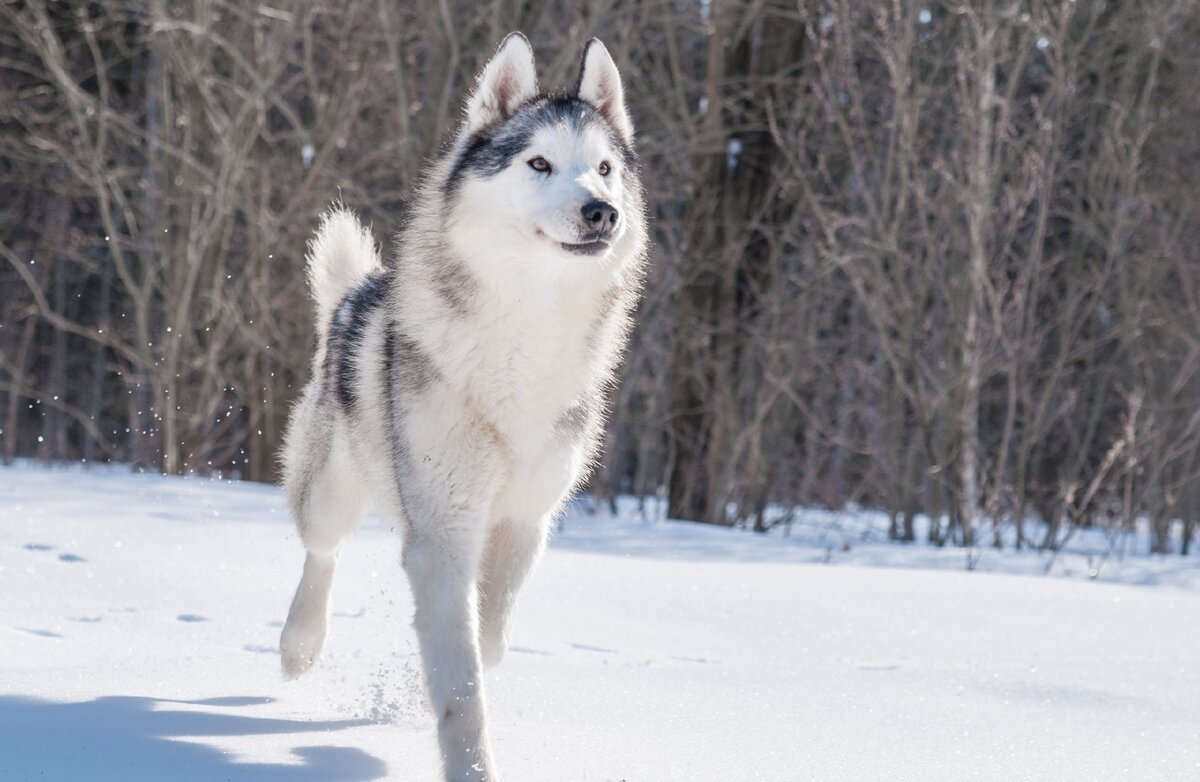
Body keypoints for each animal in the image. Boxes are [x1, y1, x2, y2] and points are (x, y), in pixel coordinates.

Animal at [276, 32, 648, 782]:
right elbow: (462, 684)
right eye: (539, 163)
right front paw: (469, 761)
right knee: (321, 550)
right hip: (332, 485)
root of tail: (355, 293)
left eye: (603, 169)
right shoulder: (443, 529)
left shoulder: (527, 521)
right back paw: (300, 642)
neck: (527, 331)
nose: (602, 210)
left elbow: (489, 639)